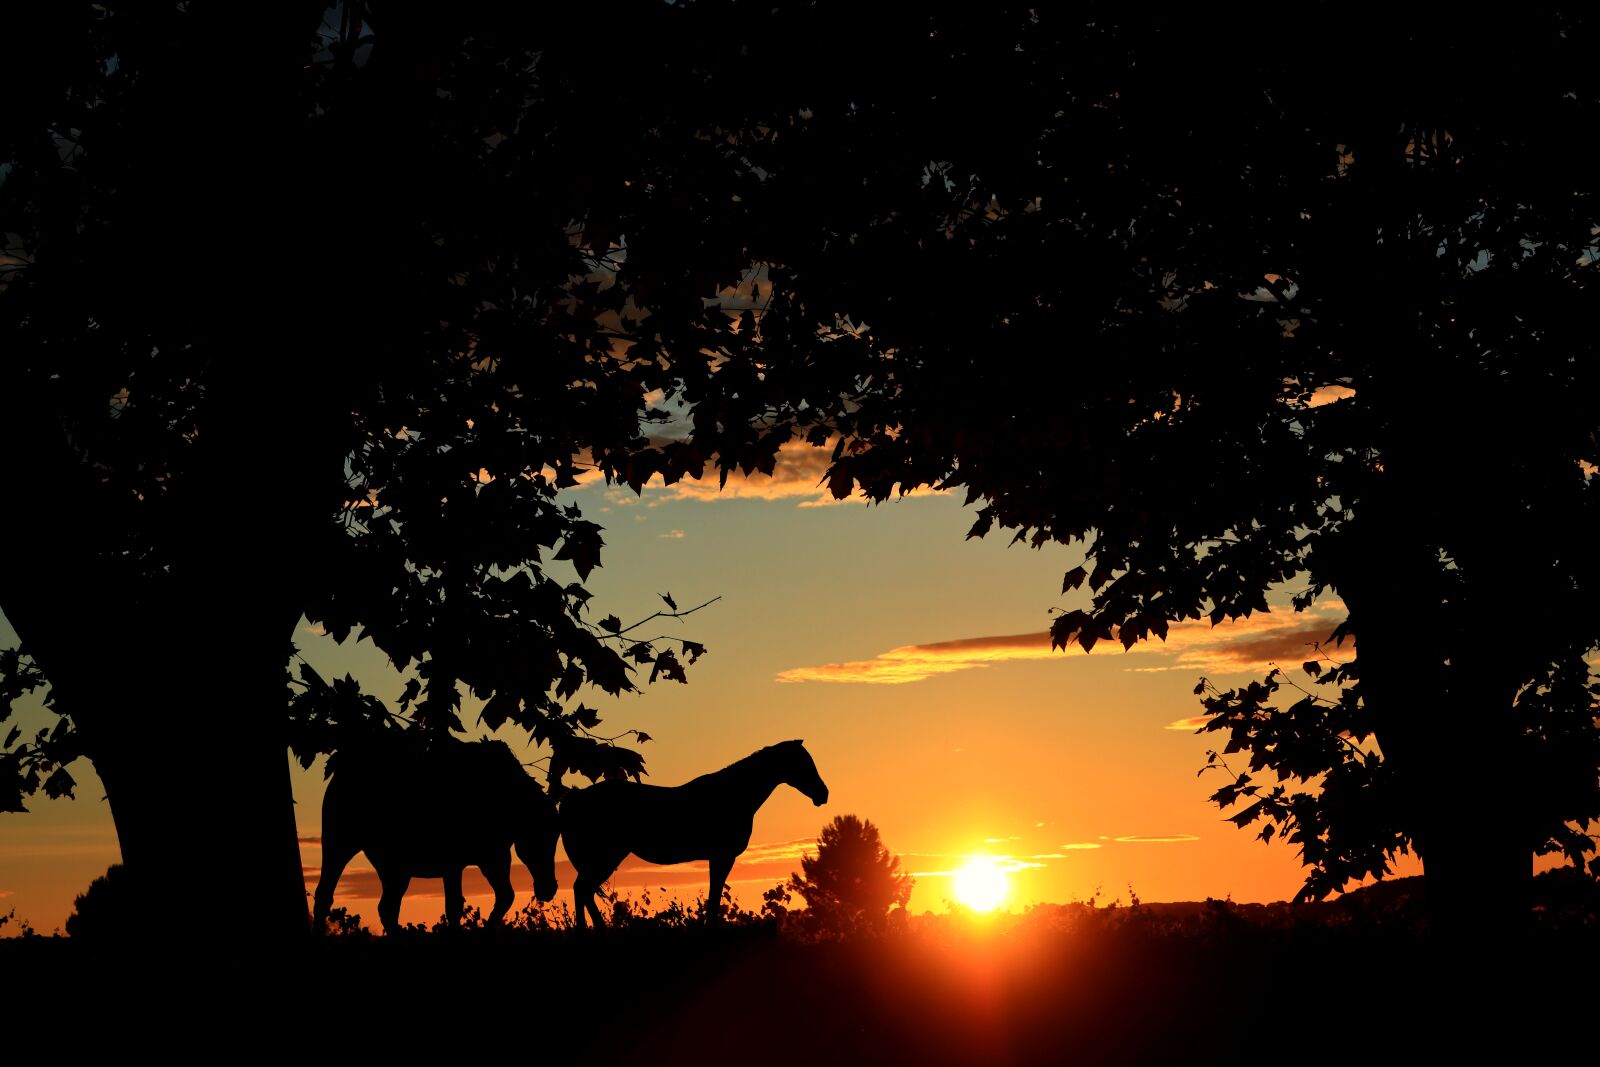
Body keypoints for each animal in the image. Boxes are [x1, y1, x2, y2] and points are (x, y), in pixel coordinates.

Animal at [313, 735, 563, 934]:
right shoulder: (454, 861)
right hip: (339, 843)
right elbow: (454, 907)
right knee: (329, 895)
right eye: (538, 835)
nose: (549, 888)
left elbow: (504, 896)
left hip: (393, 867)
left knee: (383, 907)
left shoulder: (492, 857)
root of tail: (339, 771)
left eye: (557, 835)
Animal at [560, 739, 832, 927]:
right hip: (605, 856)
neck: (734, 794)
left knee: (583, 891)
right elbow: (714, 897)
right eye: (804, 763)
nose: (823, 794)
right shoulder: (722, 856)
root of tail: (575, 797)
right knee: (582, 889)